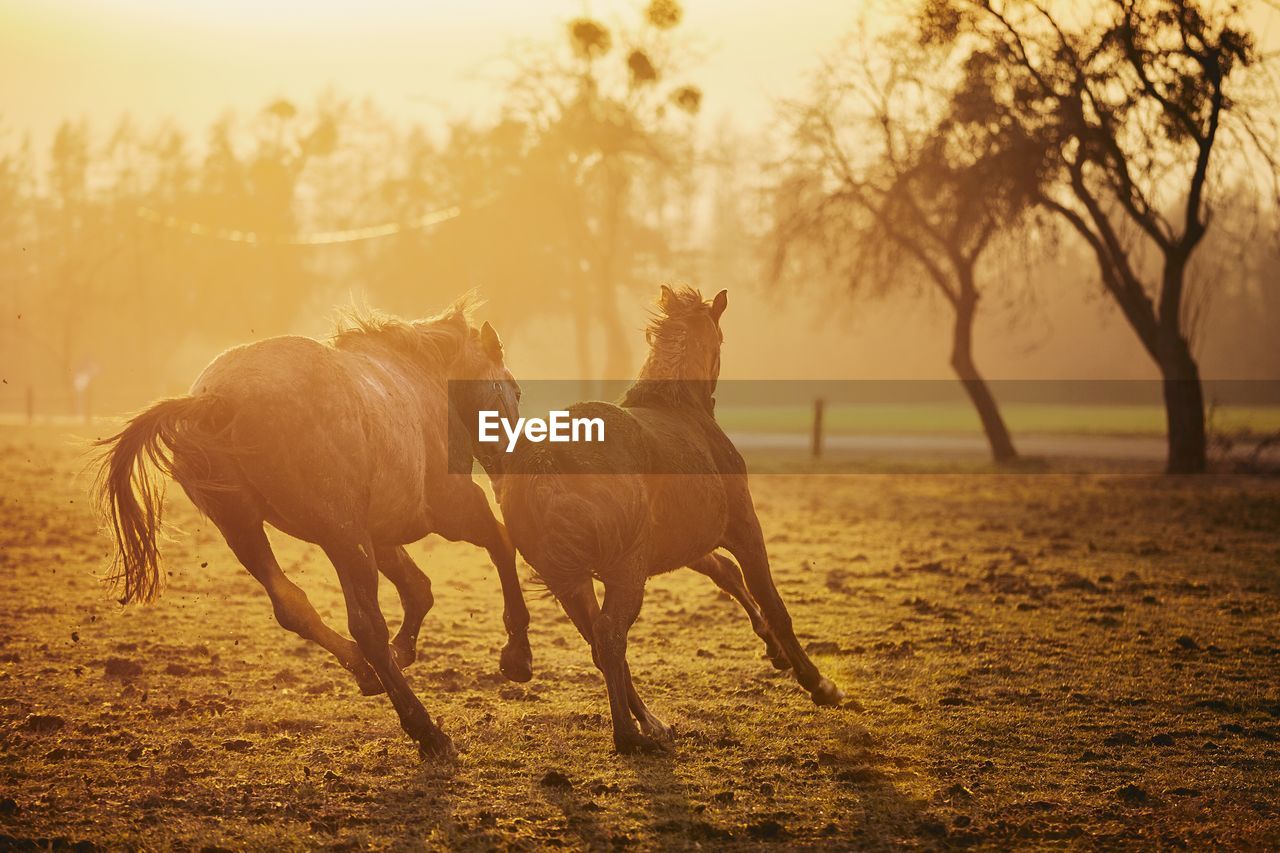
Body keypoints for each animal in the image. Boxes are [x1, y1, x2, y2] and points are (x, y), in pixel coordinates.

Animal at [97, 295, 529, 753]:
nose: (509, 466)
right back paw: (424, 728)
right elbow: (500, 544)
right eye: (515, 390)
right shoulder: (449, 509)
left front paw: (404, 651)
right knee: (366, 626)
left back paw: (365, 670)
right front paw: (517, 655)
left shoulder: (377, 531)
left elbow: (418, 589)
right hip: (342, 536)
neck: (423, 377)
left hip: (246, 529)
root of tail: (216, 402)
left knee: (294, 606)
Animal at [494, 284, 844, 753]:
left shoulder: (686, 544)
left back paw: (648, 724)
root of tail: (547, 459)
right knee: (610, 637)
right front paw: (818, 683)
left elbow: (727, 575)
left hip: (573, 580)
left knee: (599, 644)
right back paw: (630, 735)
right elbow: (770, 598)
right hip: (624, 572)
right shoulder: (743, 527)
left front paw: (774, 651)